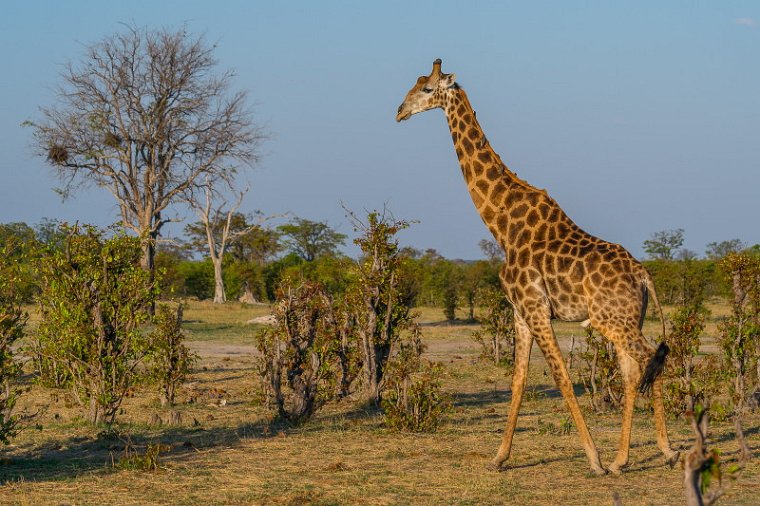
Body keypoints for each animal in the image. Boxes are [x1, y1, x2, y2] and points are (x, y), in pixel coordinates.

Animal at [394, 59, 680, 474]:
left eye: (428, 89)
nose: (399, 111)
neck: (503, 227)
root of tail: (644, 276)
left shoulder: (535, 308)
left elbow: (561, 376)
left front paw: (593, 458)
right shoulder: (519, 312)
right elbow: (518, 380)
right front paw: (499, 458)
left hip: (612, 320)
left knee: (650, 359)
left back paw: (666, 451)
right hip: (627, 319)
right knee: (633, 370)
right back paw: (623, 459)